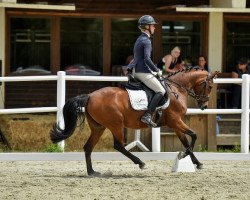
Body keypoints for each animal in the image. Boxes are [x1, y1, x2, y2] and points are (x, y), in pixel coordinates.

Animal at [50, 68, 219, 176]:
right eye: (210, 86)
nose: (204, 106)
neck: (176, 90)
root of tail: (90, 96)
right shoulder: (176, 122)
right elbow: (194, 135)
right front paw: (184, 155)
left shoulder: (176, 125)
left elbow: (186, 141)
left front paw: (196, 162)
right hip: (116, 125)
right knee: (118, 145)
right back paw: (140, 163)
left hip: (99, 127)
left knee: (88, 147)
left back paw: (92, 172)